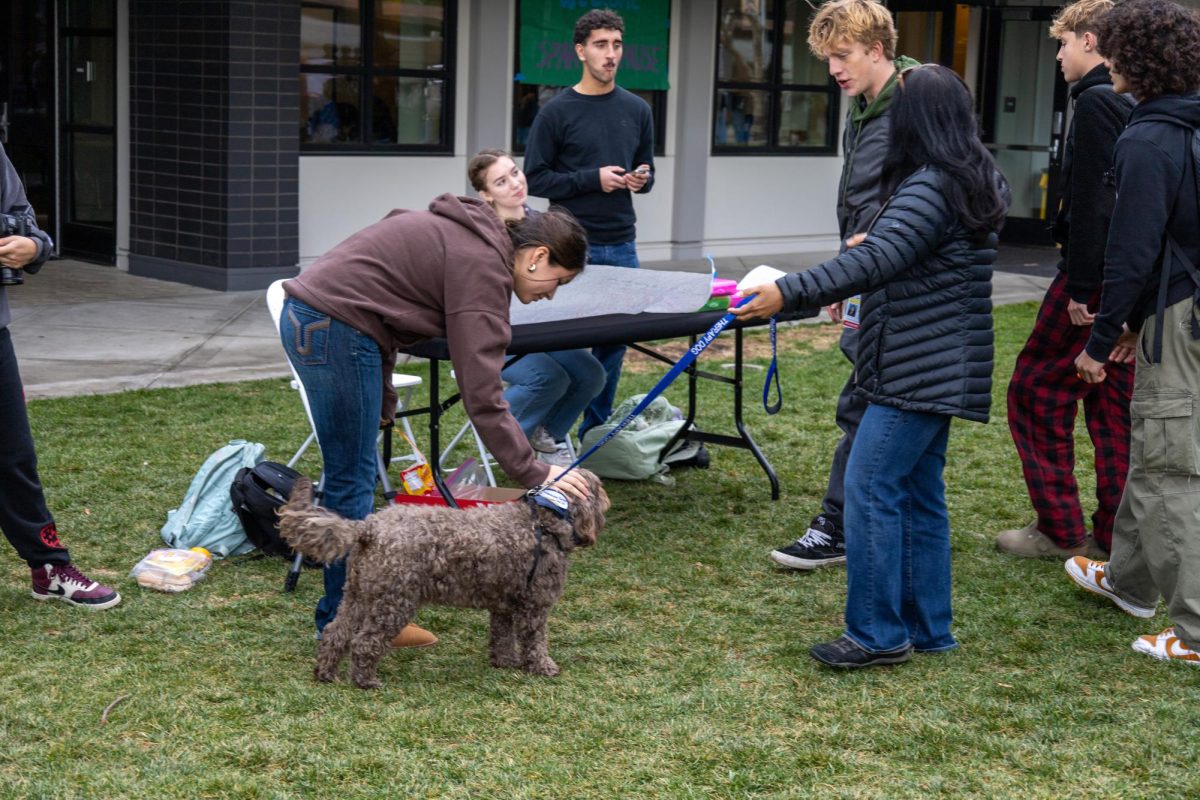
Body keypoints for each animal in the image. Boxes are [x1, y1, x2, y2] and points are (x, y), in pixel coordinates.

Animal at [276, 472, 604, 690]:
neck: (543, 521)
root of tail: (369, 527)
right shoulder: (535, 606)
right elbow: (535, 641)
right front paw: (543, 667)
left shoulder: (504, 604)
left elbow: (501, 636)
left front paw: (504, 662)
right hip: (394, 602)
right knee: (364, 642)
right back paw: (366, 680)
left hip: (359, 595)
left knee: (336, 632)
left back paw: (326, 673)